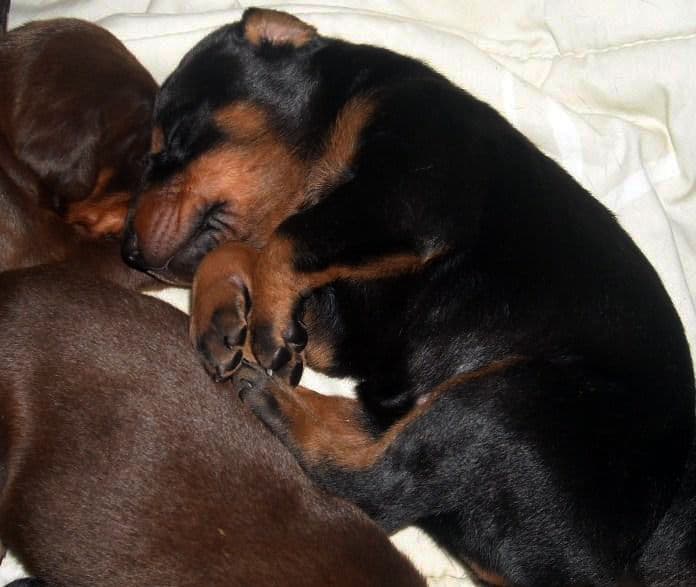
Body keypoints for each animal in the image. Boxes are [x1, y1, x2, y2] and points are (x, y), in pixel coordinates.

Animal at [123, 9, 696, 587]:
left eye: (170, 140)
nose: (126, 250)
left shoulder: (410, 196)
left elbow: (286, 238)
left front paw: (260, 321)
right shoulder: (344, 319)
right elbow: (243, 249)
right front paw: (219, 314)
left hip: (517, 400)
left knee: (380, 487)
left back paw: (275, 402)